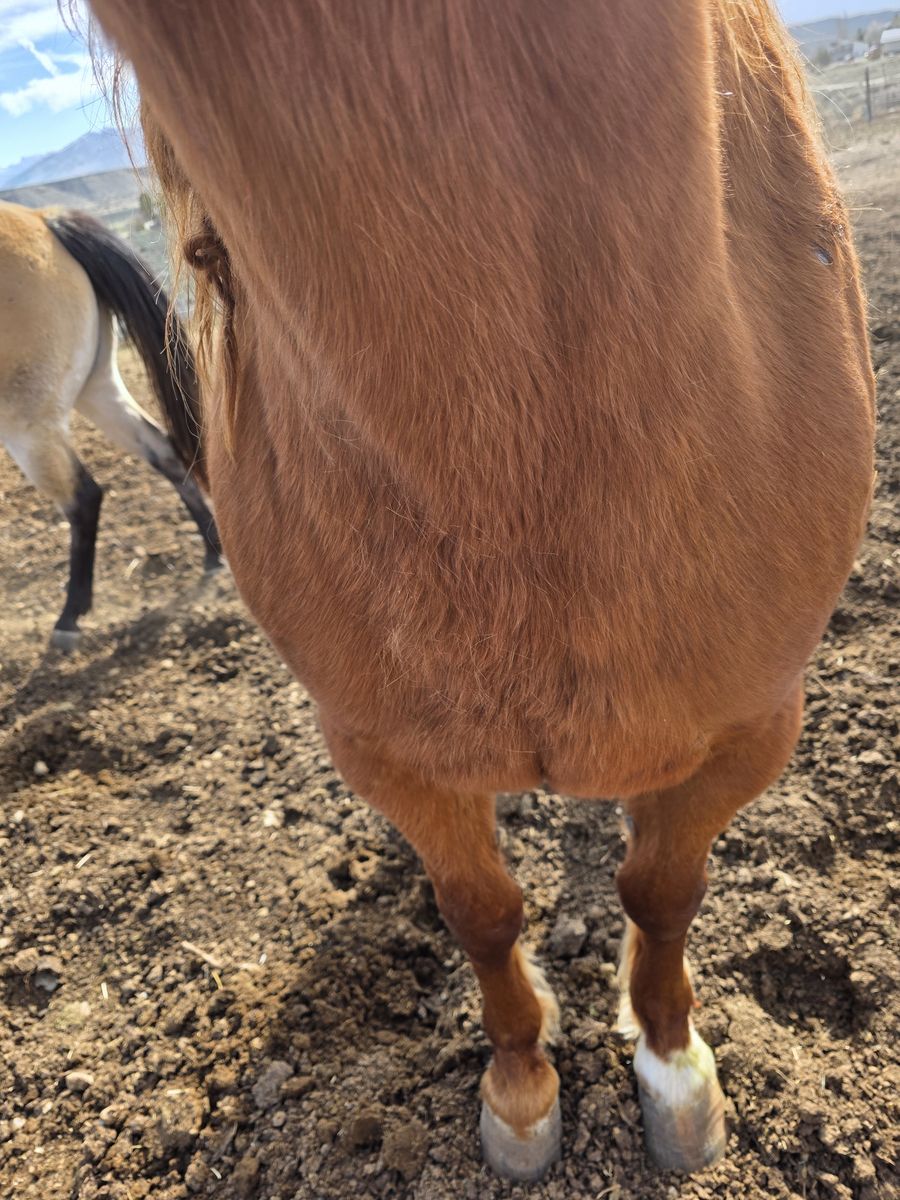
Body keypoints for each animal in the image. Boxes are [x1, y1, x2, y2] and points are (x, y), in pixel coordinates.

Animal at [0, 201, 221, 650]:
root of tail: (44, 219)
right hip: (98, 388)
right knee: (164, 452)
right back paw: (212, 555)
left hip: (28, 425)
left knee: (83, 496)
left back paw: (69, 617)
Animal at [87, 0, 875, 1179]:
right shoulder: (388, 750)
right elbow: (480, 912)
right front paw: (520, 1093)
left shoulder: (753, 727)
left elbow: (665, 890)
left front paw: (673, 1071)